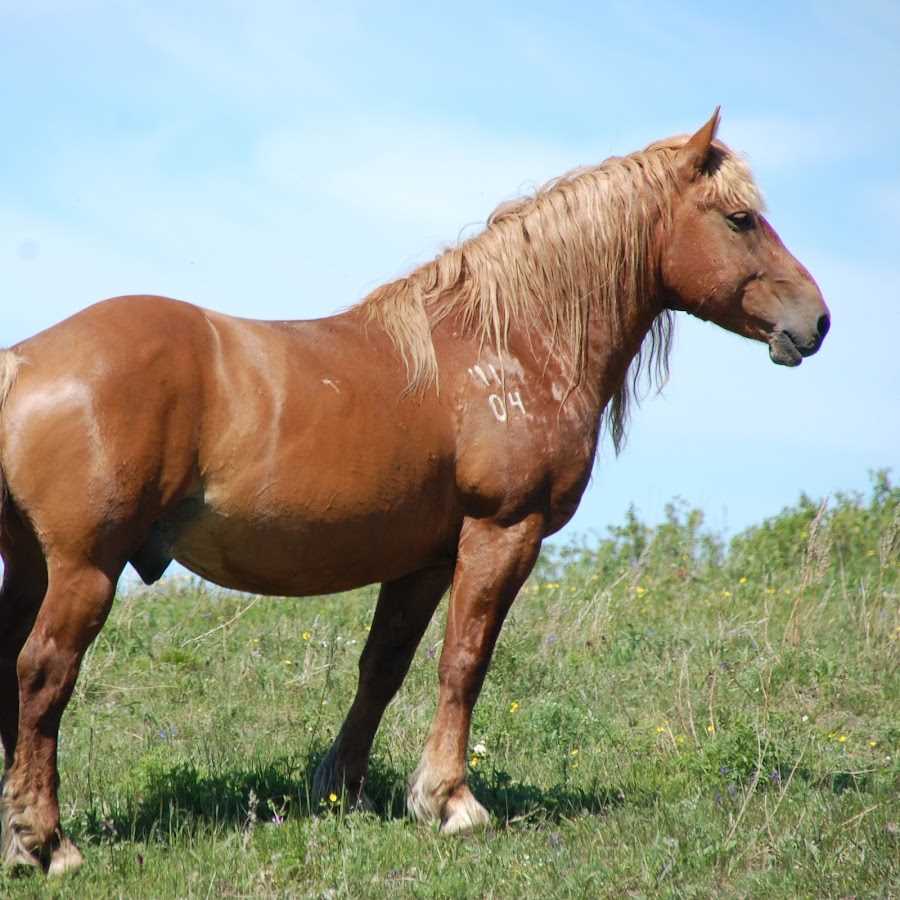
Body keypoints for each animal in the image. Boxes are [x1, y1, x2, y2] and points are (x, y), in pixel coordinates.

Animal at [0, 109, 828, 876]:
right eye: (740, 218)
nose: (816, 321)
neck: (505, 345)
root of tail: (26, 359)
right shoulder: (503, 531)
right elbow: (463, 661)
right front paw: (449, 800)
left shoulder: (422, 561)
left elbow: (384, 666)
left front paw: (344, 790)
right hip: (85, 568)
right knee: (43, 673)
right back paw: (45, 841)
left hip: (32, 565)